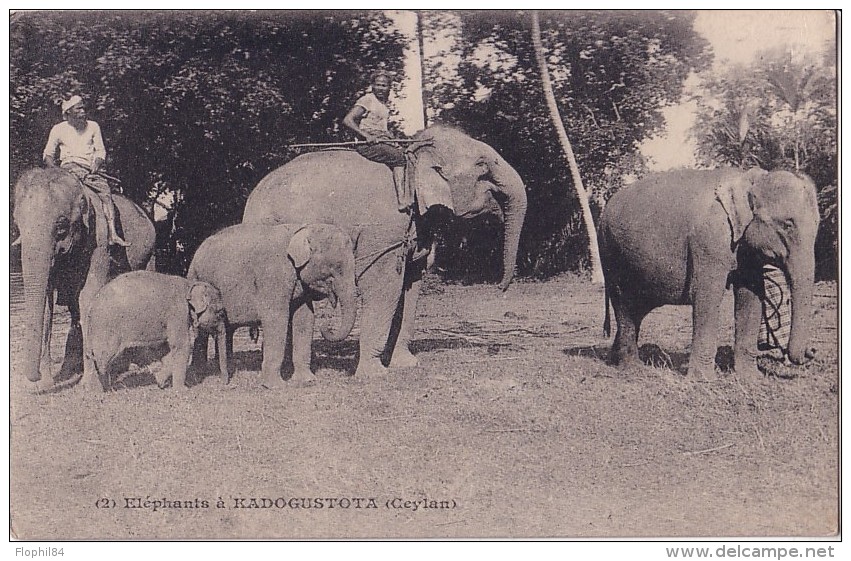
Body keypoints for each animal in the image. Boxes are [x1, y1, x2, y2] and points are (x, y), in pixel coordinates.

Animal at [11, 164, 156, 388]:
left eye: (61, 225)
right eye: (17, 223)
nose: (35, 377)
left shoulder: (100, 240)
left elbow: (88, 296)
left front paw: (90, 385)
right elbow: (47, 301)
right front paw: (47, 384)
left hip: (148, 252)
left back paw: (142, 363)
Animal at [80, 270, 225, 392]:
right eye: (220, 312)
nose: (223, 383)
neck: (189, 285)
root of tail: (92, 304)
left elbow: (168, 350)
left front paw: (159, 381)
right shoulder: (178, 313)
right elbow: (182, 345)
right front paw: (182, 390)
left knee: (91, 355)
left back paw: (92, 388)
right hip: (106, 328)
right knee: (102, 359)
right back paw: (101, 390)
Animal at [188, 221, 358, 388]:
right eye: (336, 268)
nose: (327, 326)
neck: (301, 230)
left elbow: (305, 318)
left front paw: (307, 381)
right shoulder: (273, 276)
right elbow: (277, 318)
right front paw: (274, 385)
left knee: (226, 330)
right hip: (196, 279)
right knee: (201, 330)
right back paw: (199, 374)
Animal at [243, 122, 528, 376]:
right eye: (483, 166)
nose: (500, 287)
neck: (413, 156)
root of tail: (251, 200)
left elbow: (411, 286)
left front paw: (406, 364)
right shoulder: (385, 228)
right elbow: (385, 286)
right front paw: (374, 373)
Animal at [600, 166, 820, 376]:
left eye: (818, 225)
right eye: (788, 224)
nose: (811, 351)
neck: (747, 179)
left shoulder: (744, 249)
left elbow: (751, 296)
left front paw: (750, 378)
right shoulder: (709, 241)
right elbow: (708, 295)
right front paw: (704, 379)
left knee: (636, 310)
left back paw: (613, 360)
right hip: (611, 255)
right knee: (624, 305)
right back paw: (632, 368)